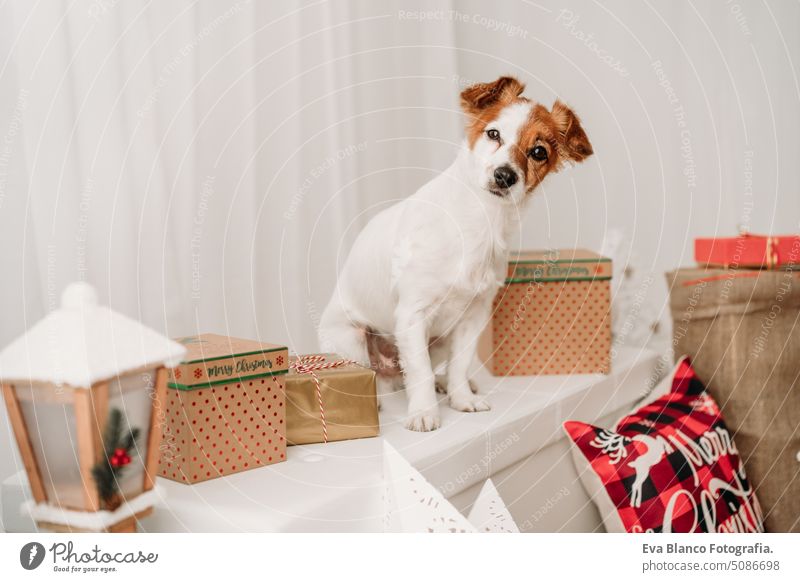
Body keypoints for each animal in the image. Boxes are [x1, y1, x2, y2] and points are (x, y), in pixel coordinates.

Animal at [320, 77, 592, 432]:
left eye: (538, 152)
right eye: (493, 134)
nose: (505, 176)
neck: (481, 221)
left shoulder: (473, 316)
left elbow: (460, 364)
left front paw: (461, 398)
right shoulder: (412, 315)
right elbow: (419, 371)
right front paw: (424, 412)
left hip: (437, 342)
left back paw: (444, 385)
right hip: (352, 340)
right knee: (380, 376)